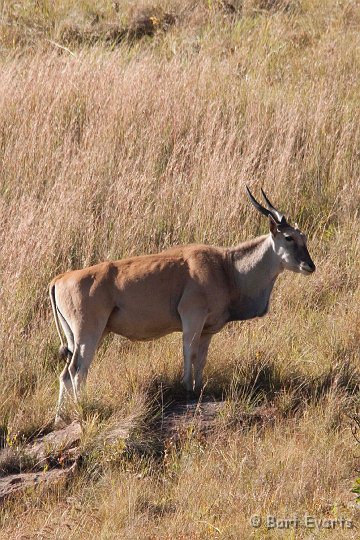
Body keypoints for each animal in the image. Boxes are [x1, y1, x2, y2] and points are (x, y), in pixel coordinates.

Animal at [50, 188, 316, 424]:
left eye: (303, 238)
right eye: (289, 238)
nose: (310, 266)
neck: (226, 267)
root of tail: (59, 279)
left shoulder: (207, 330)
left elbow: (202, 358)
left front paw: (198, 388)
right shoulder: (192, 319)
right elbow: (190, 352)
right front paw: (187, 389)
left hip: (78, 337)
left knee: (66, 374)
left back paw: (60, 418)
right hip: (89, 334)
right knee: (76, 370)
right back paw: (80, 409)